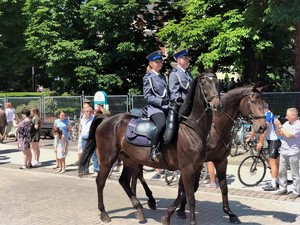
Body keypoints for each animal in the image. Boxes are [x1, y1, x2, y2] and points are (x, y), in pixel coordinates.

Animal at [79, 71, 223, 225]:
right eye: (204, 83)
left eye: (217, 83)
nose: (217, 105)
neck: (192, 128)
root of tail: (106, 120)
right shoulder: (187, 168)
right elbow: (190, 197)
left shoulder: (196, 168)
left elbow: (183, 192)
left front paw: (167, 217)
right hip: (107, 159)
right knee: (100, 182)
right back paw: (104, 213)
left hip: (129, 159)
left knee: (123, 181)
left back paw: (139, 210)